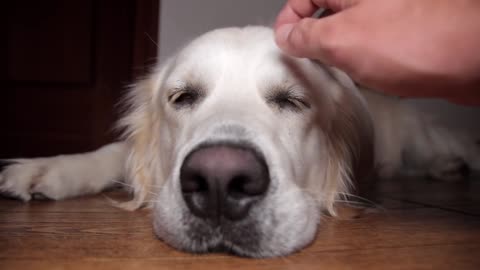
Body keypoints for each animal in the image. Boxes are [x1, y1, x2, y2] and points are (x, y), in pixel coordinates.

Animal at [0, 26, 478, 256]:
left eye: (293, 100)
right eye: (182, 97)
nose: (218, 181)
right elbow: (113, 153)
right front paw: (48, 169)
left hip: (422, 134)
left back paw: (452, 165)